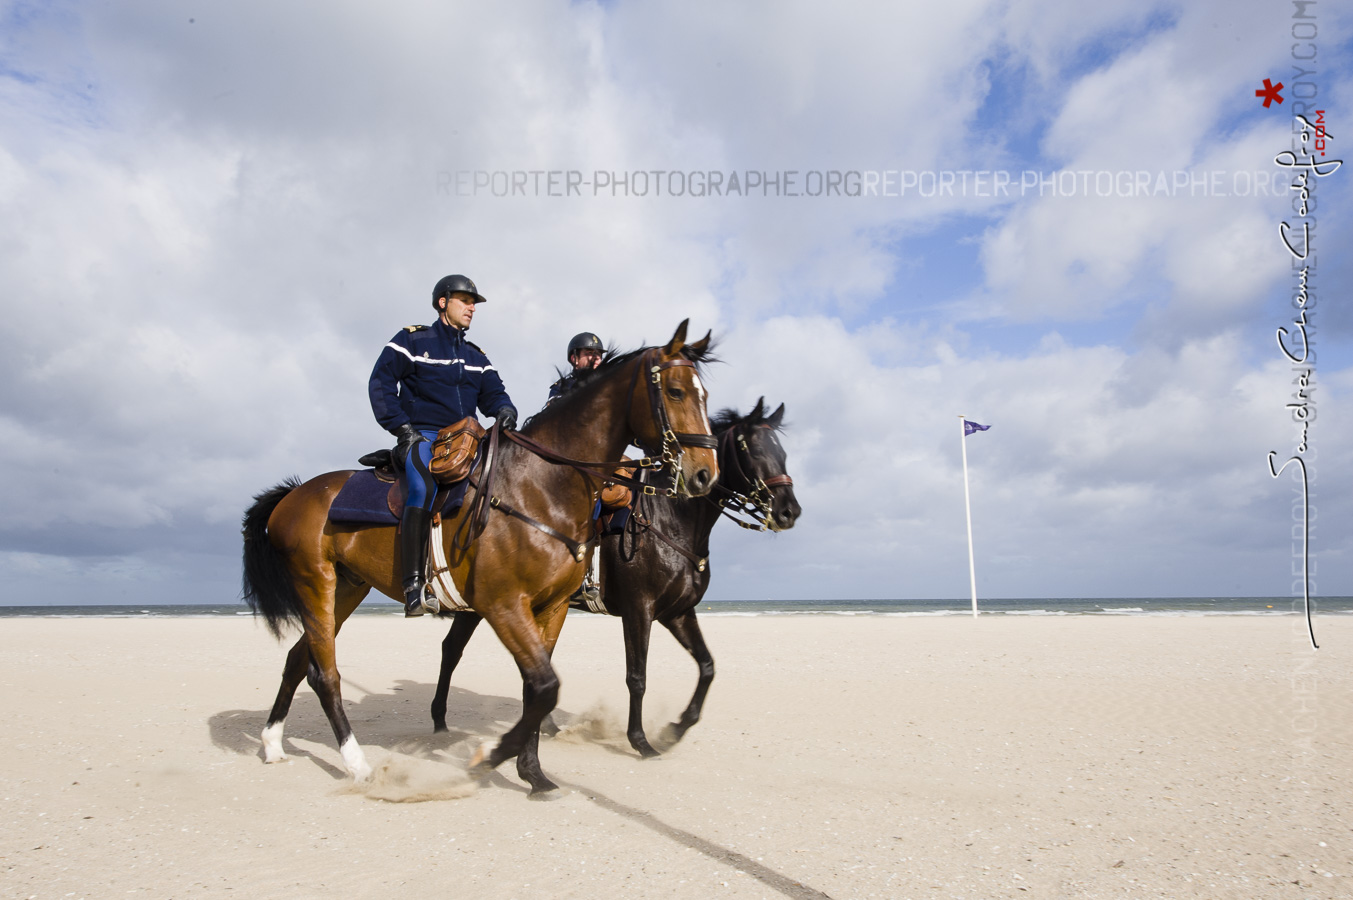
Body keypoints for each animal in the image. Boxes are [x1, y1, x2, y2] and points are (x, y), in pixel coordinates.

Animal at [246, 319, 730, 790]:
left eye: (705, 395)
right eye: (676, 391)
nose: (704, 474)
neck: (541, 487)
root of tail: (296, 494)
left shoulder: (554, 607)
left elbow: (538, 689)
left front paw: (532, 773)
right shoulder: (505, 605)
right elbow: (546, 685)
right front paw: (492, 758)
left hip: (347, 589)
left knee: (299, 659)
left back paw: (272, 743)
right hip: (316, 583)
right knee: (325, 674)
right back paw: (358, 765)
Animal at [432, 397, 795, 752]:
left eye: (783, 454)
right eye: (754, 450)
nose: (789, 510)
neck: (670, 518)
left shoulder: (677, 613)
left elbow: (707, 667)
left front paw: (676, 728)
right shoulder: (639, 610)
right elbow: (637, 677)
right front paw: (640, 741)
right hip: (482, 602)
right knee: (452, 649)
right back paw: (440, 720)